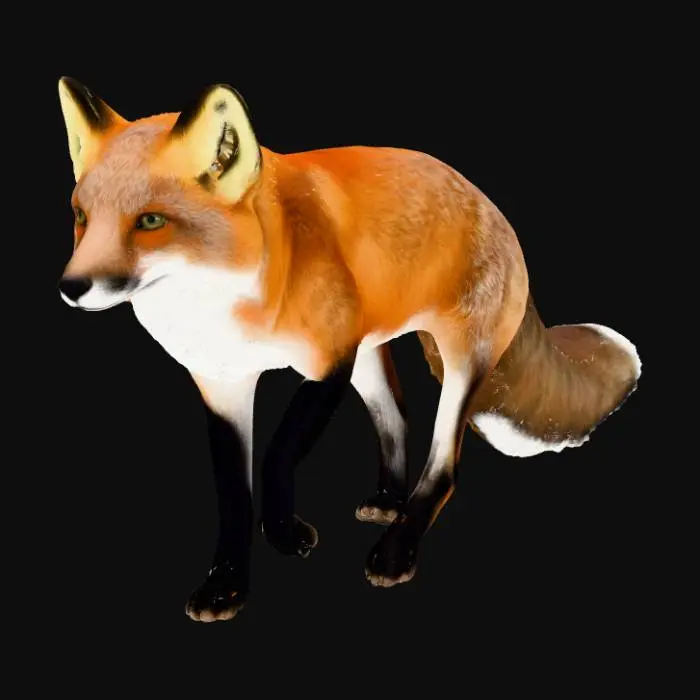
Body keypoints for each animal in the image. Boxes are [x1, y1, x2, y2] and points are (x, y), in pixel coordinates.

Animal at [57, 77, 641, 623]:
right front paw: (226, 584)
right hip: (368, 359)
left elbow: (277, 455)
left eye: (150, 221)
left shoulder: (326, 365)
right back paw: (388, 501)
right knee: (398, 417)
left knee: (445, 464)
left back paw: (397, 549)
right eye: (81, 217)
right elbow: (233, 495)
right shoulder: (222, 385)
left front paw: (283, 533)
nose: (71, 287)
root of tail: (487, 201)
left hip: (454, 362)